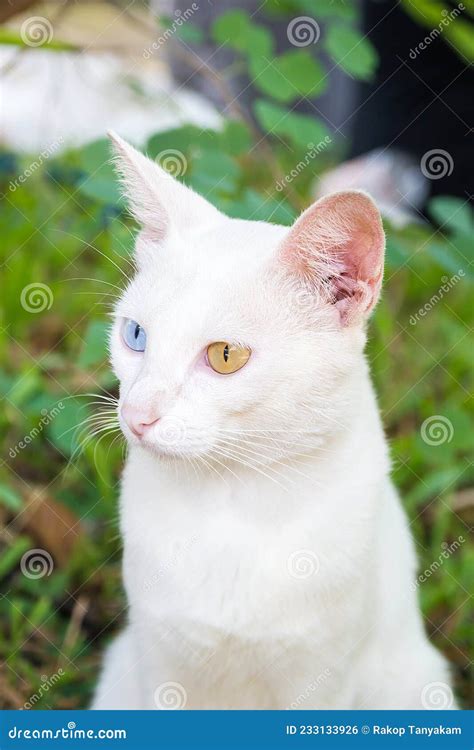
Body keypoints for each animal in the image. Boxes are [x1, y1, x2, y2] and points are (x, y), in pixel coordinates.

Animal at [91, 131, 456, 712]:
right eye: (135, 335)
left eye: (225, 356)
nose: (136, 415)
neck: (234, 504)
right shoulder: (159, 663)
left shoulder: (323, 681)